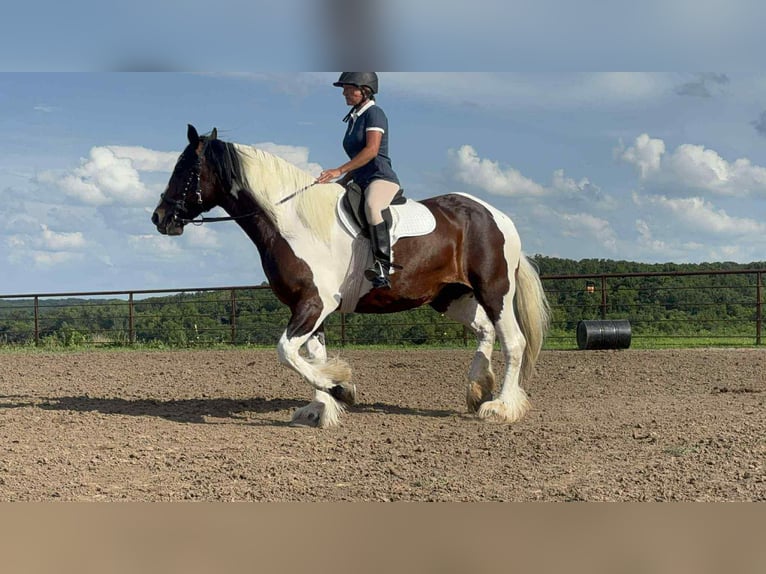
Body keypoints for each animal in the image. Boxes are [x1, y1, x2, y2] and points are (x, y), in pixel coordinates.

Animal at [151, 124, 550, 428]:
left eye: (185, 170)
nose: (159, 218)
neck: (293, 223)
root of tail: (497, 215)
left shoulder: (314, 304)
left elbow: (287, 351)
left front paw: (339, 387)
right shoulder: (309, 307)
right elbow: (310, 354)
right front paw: (321, 406)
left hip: (494, 290)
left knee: (513, 342)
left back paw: (500, 407)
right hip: (450, 296)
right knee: (484, 331)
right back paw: (478, 389)